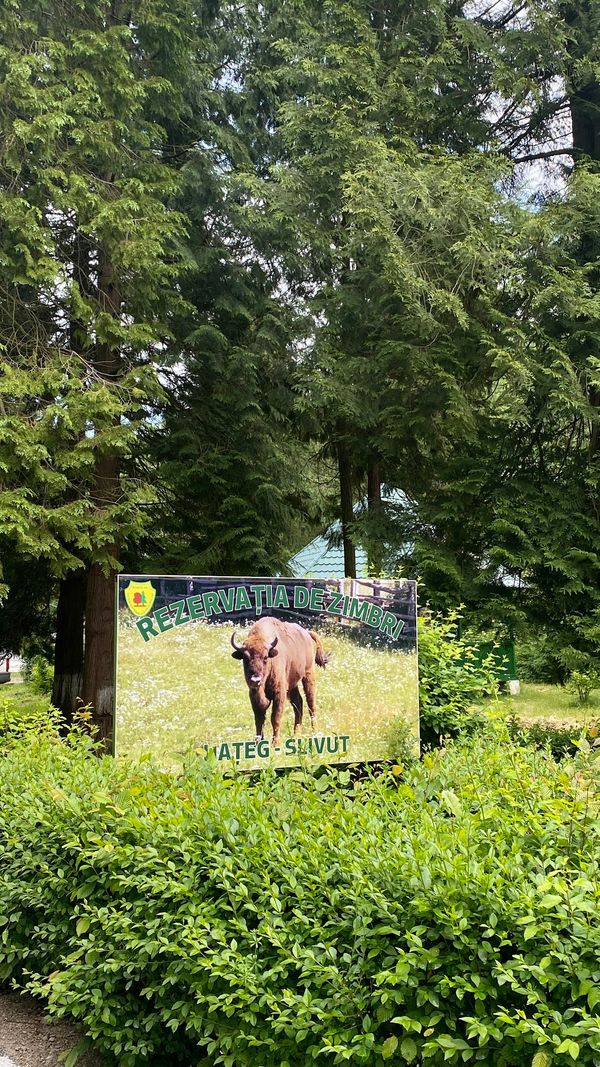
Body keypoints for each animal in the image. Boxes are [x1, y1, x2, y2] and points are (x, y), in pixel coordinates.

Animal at [229, 614, 330, 746]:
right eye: (245, 658)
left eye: (265, 657)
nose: (255, 680)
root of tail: (306, 633)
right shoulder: (253, 696)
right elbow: (259, 719)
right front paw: (258, 743)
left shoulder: (279, 693)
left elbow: (275, 718)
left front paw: (275, 744)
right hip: (292, 685)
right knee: (298, 703)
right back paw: (296, 735)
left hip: (308, 675)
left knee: (311, 704)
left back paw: (315, 732)